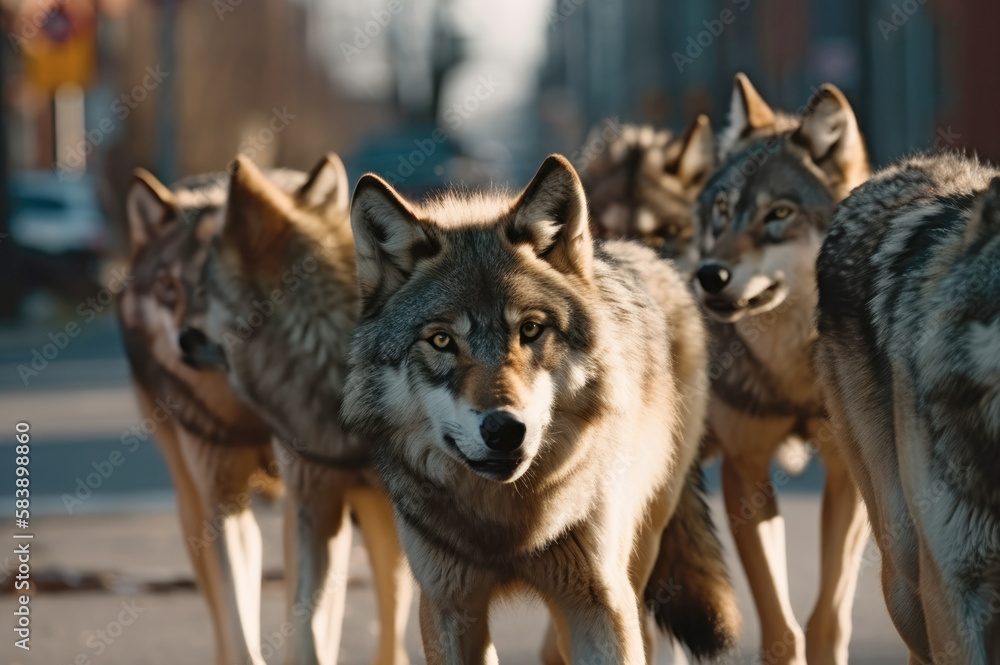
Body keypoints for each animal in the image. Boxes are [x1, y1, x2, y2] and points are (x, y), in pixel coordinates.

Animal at [341, 154, 740, 665]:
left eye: (530, 330)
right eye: (442, 340)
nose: (504, 429)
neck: (508, 524)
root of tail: (639, 254)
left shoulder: (599, 601)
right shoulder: (449, 606)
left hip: (638, 552)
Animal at [691, 75, 871, 665]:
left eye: (779, 214)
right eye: (723, 209)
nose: (709, 275)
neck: (794, 373)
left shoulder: (846, 473)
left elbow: (826, 621)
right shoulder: (745, 469)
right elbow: (781, 628)